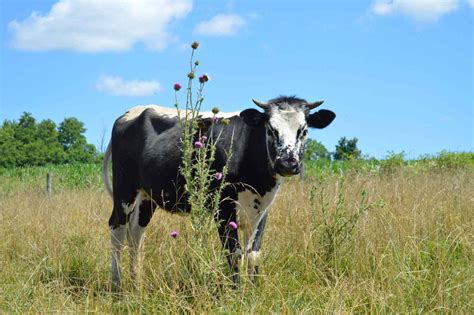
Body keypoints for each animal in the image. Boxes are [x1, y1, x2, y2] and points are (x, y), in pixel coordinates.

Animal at [104, 95, 336, 288]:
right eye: (271, 129)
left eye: (303, 130)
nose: (287, 163)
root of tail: (130, 113)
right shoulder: (223, 207)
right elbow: (234, 253)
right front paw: (236, 293)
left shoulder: (262, 208)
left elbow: (253, 254)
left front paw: (254, 291)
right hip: (124, 189)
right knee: (118, 230)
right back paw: (117, 287)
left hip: (147, 195)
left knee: (136, 234)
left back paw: (136, 284)